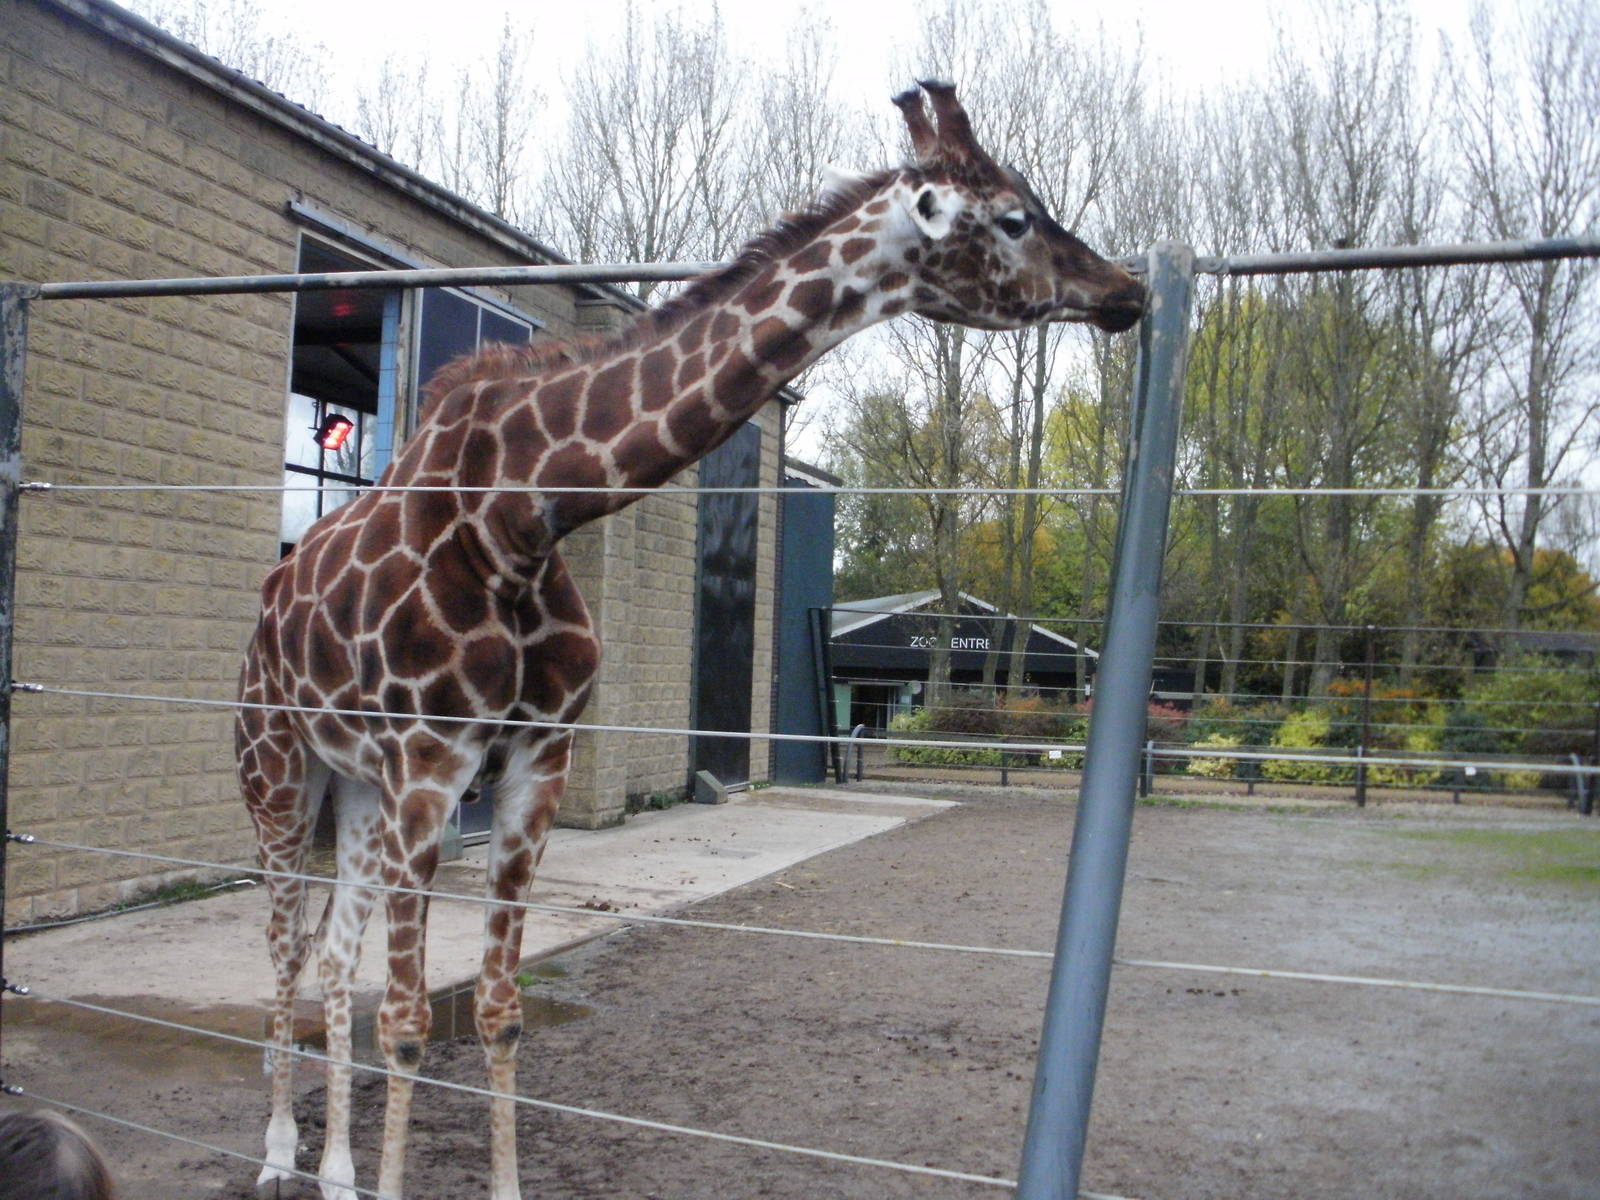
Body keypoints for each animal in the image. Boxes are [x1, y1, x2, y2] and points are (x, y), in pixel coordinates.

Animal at [237, 80, 1144, 1200]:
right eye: (1016, 217)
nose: (1126, 289)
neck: (522, 515)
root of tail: (268, 607)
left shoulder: (533, 762)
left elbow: (496, 1011)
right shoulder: (430, 764)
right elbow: (410, 1023)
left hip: (355, 786)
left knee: (329, 952)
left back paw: (333, 1173)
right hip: (278, 768)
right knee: (282, 945)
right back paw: (278, 1158)